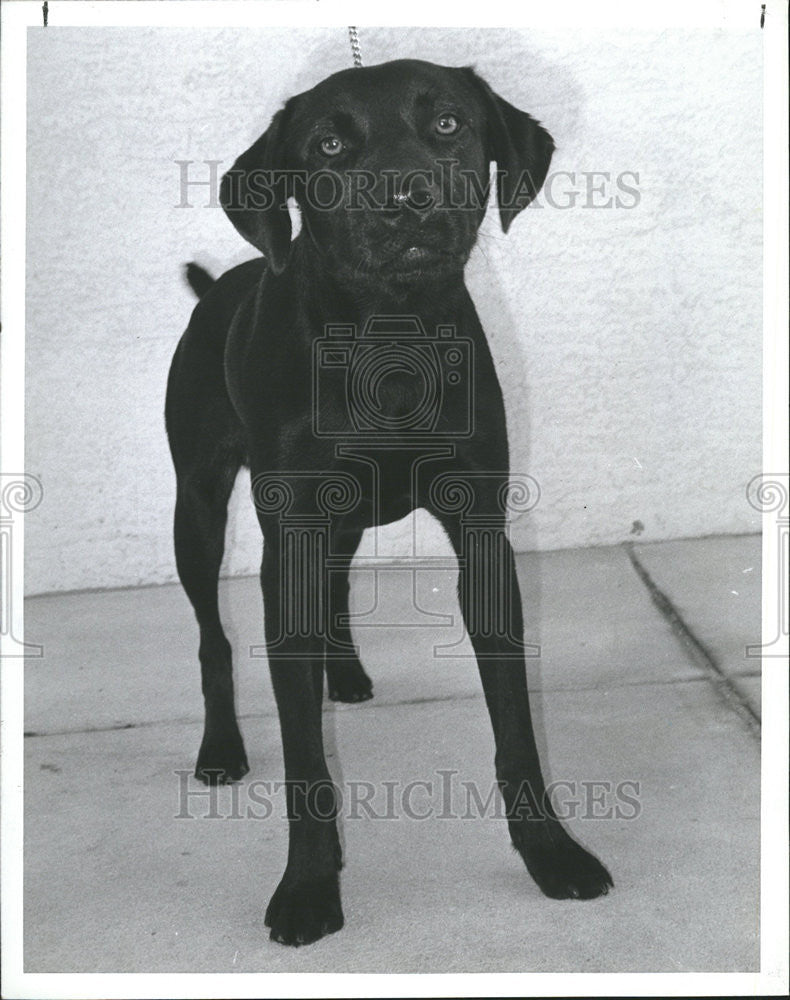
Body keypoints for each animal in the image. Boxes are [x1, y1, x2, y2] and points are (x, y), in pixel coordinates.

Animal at [166, 56, 612, 944]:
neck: (389, 338)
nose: (405, 194)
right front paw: (308, 887)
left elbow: (516, 728)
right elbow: (305, 756)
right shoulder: (291, 538)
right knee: (213, 638)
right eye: (329, 145)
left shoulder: (482, 535)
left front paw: (550, 853)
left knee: (334, 588)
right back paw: (222, 747)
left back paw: (342, 672)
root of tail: (217, 289)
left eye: (447, 124)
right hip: (196, 507)